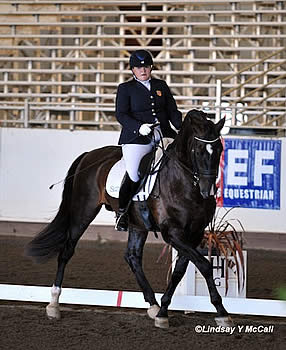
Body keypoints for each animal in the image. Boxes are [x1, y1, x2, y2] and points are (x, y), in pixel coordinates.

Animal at [26, 108, 232, 328]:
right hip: (83, 212)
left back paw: (153, 306)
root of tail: (89, 155)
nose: (207, 191)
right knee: (66, 251)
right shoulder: (173, 233)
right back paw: (53, 304)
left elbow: (180, 271)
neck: (184, 183)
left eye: (219, 149)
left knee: (132, 257)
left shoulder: (193, 233)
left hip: (137, 225)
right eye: (199, 151)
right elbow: (205, 265)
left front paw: (164, 311)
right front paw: (221, 311)